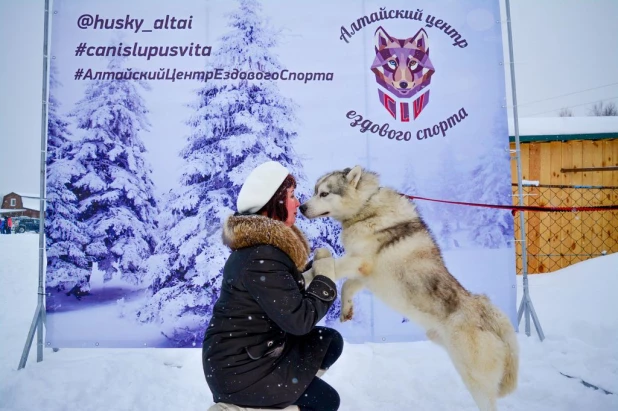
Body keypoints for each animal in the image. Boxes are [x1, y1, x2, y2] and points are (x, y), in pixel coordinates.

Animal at [300, 167, 516, 411]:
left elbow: (323, 270)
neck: (366, 206)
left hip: (475, 380)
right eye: (315, 191)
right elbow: (347, 285)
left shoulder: (358, 260)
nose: (301, 207)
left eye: (324, 193)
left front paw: (302, 276)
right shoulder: (366, 274)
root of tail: (489, 312)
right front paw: (346, 310)